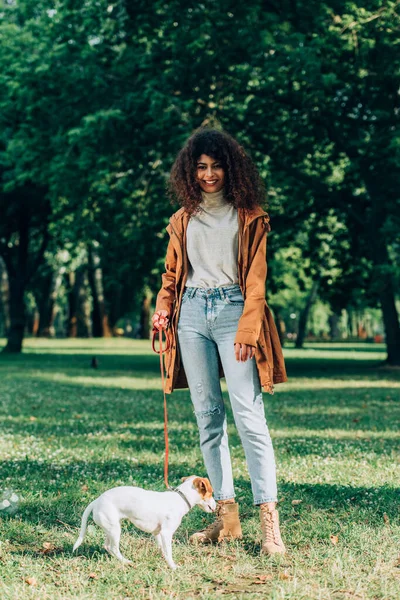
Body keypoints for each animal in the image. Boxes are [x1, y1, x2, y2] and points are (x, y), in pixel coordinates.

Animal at [72, 476, 216, 568]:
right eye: (211, 492)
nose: (216, 505)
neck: (181, 498)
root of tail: (96, 501)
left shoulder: (158, 533)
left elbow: (163, 549)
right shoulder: (166, 533)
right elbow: (169, 552)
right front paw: (173, 566)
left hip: (110, 528)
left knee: (107, 546)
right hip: (114, 529)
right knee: (113, 548)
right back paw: (127, 562)